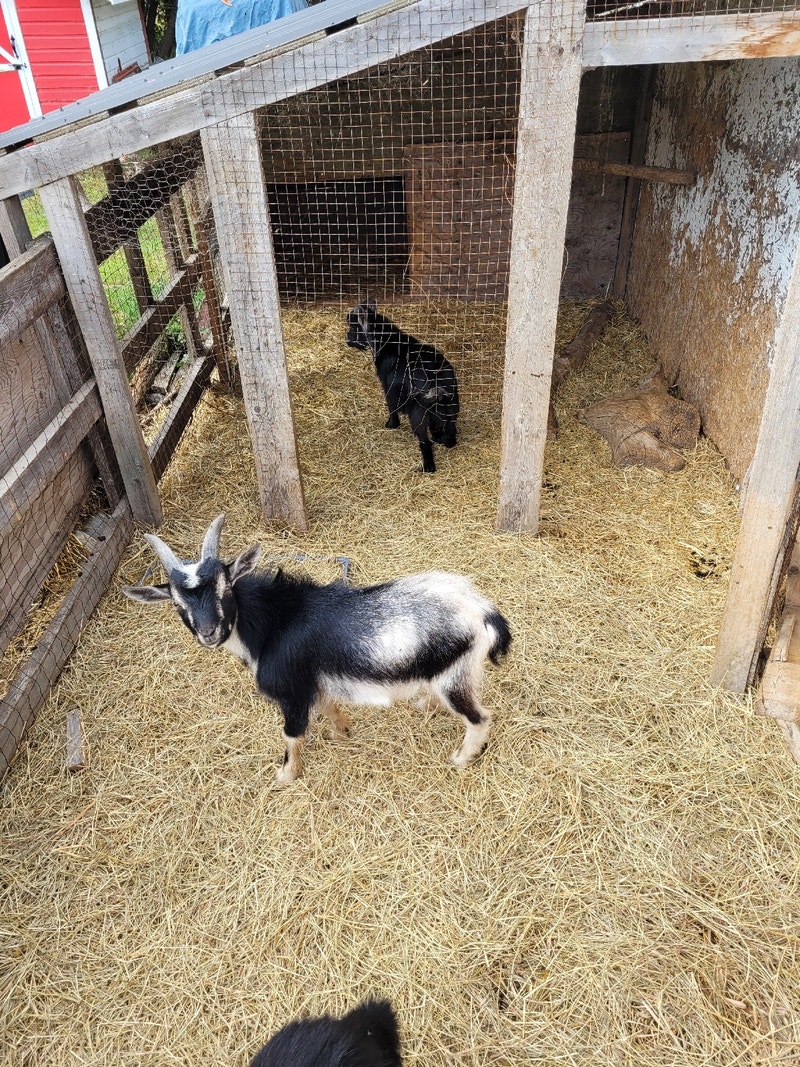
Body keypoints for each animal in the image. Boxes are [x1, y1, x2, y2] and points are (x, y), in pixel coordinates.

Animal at [122, 514, 511, 785]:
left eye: (226, 588)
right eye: (176, 604)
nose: (208, 632)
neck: (275, 624)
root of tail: (482, 610)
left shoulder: (291, 693)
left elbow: (292, 734)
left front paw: (286, 775)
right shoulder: (313, 683)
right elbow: (328, 707)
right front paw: (343, 733)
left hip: (454, 677)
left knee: (480, 718)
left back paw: (461, 758)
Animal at [346, 300, 459, 473]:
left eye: (354, 328)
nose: (347, 338)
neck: (385, 341)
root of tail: (437, 380)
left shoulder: (388, 387)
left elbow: (392, 408)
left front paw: (391, 425)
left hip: (418, 414)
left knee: (425, 441)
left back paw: (428, 467)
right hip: (451, 408)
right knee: (449, 434)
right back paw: (443, 440)